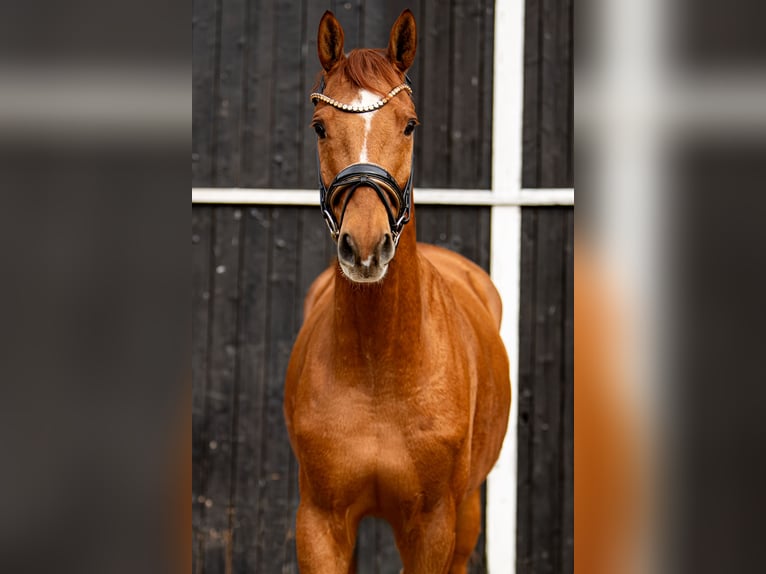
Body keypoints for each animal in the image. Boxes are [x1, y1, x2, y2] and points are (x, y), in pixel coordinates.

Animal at [284, 10, 510, 573]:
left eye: (409, 124)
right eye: (320, 127)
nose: (366, 247)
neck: (377, 370)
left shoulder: (433, 526)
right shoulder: (319, 522)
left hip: (467, 514)